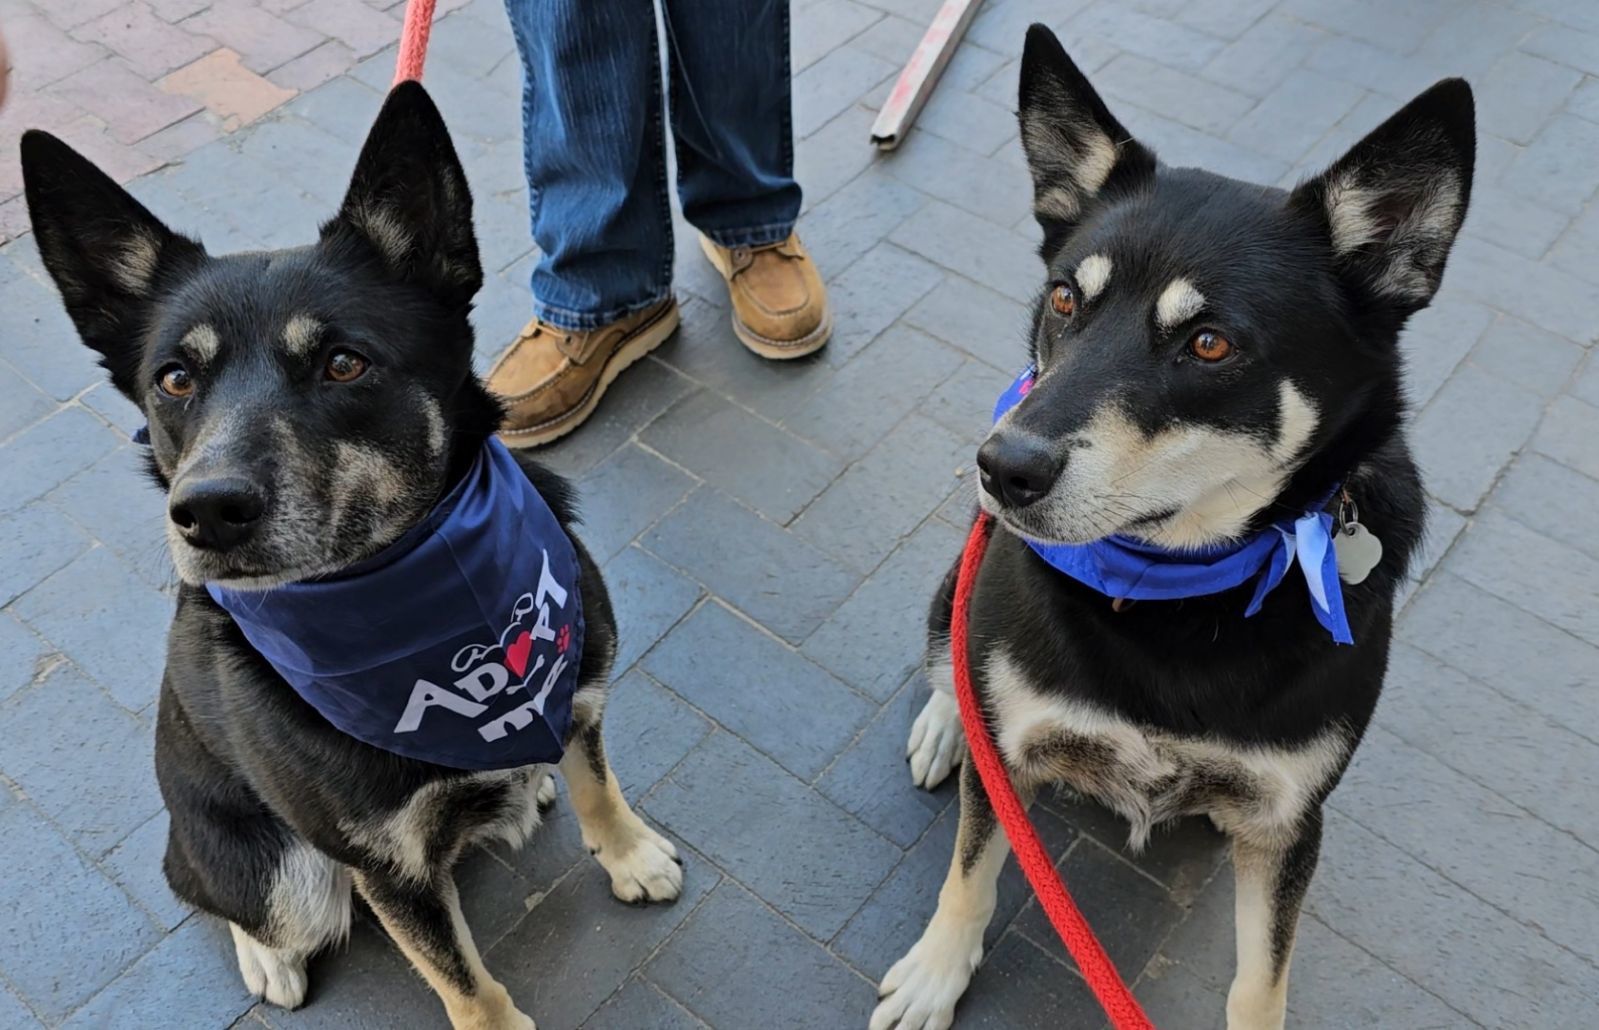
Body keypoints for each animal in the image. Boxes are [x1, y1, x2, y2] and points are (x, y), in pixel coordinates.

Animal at [23, 86, 681, 1030]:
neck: (410, 604)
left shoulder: (580, 697)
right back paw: (268, 957)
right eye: (174, 379)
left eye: (343, 363)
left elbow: (596, 778)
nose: (206, 511)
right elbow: (460, 977)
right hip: (281, 871)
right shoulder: (385, 868)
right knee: (213, 892)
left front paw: (626, 853)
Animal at [876, 24, 1471, 1030]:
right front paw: (934, 969)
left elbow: (1260, 977)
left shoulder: (1285, 821)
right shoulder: (1015, 753)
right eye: (1064, 300)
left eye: (1208, 343)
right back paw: (947, 722)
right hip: (959, 582)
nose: (1002, 467)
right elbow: (973, 866)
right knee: (949, 654)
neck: (1171, 590)